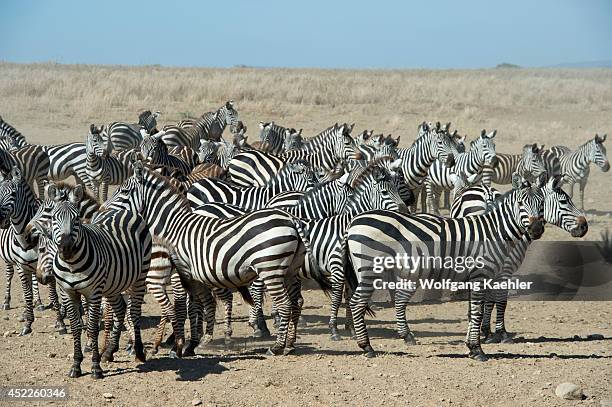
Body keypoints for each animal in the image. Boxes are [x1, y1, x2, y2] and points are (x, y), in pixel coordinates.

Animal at [27, 185, 153, 380]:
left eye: (76, 219)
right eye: (54, 217)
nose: (66, 247)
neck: (72, 265)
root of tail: (123, 211)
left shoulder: (93, 293)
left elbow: (93, 327)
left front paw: (95, 366)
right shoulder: (69, 292)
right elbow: (76, 326)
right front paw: (76, 365)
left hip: (139, 277)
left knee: (134, 313)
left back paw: (138, 351)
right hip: (113, 284)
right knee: (120, 309)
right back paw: (109, 352)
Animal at [452, 178, 592, 344]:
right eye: (564, 201)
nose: (584, 226)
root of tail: (485, 191)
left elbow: (489, 301)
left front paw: (486, 331)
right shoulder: (505, 269)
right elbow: (500, 301)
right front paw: (500, 333)